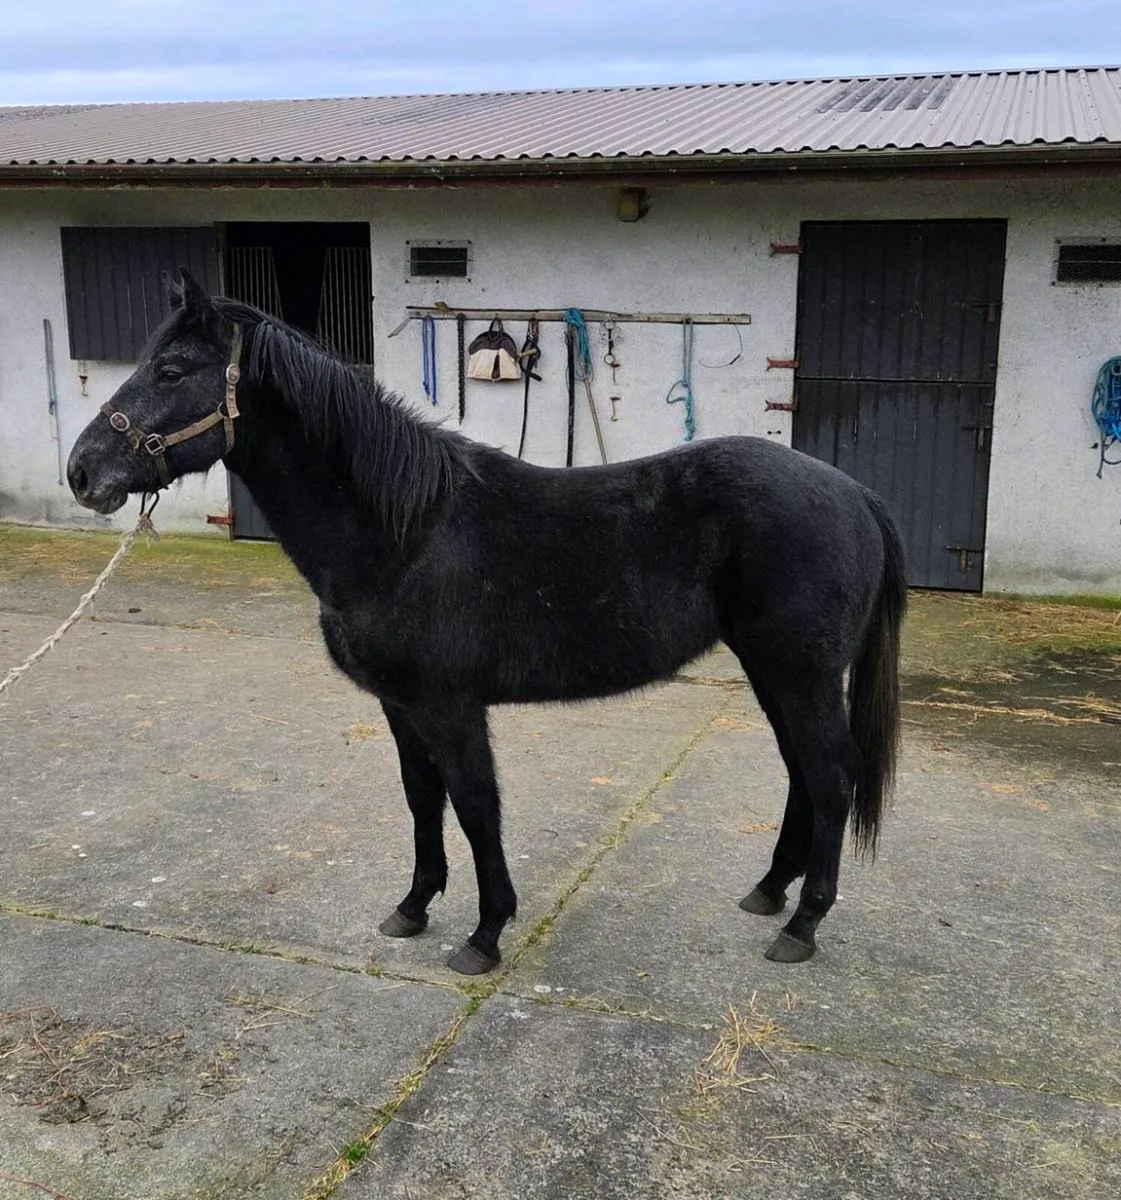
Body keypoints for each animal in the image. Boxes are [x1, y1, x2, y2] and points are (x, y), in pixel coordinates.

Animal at [67, 270, 906, 976]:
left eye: (172, 370)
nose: (82, 471)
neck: (406, 531)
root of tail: (855, 494)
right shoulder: (400, 706)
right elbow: (422, 799)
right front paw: (412, 908)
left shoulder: (450, 705)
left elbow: (475, 806)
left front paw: (484, 933)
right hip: (774, 669)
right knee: (802, 770)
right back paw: (769, 891)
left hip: (798, 671)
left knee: (830, 773)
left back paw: (801, 924)